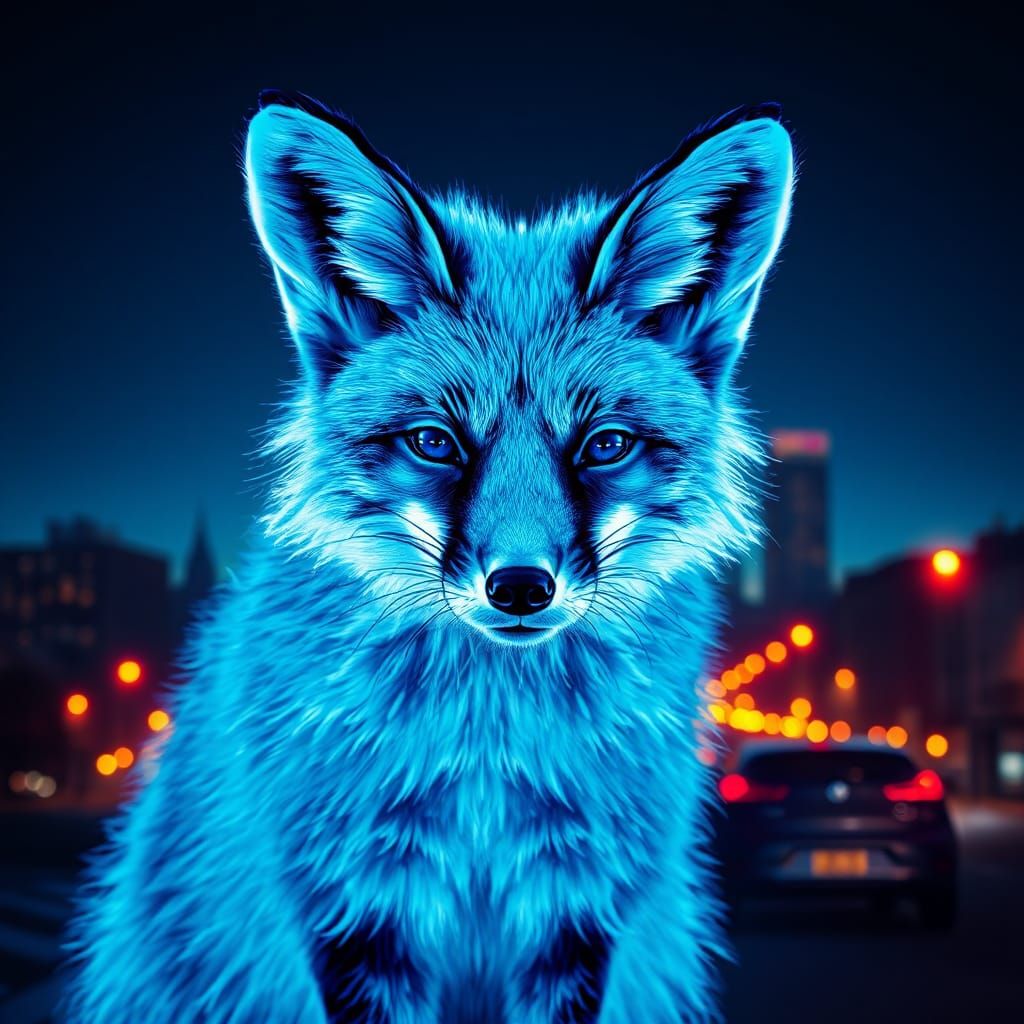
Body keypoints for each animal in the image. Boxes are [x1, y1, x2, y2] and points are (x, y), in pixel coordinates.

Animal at [64, 91, 793, 1024]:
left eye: (605, 445)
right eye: (435, 442)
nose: (519, 588)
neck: (488, 755)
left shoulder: (579, 914)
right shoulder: (352, 907)